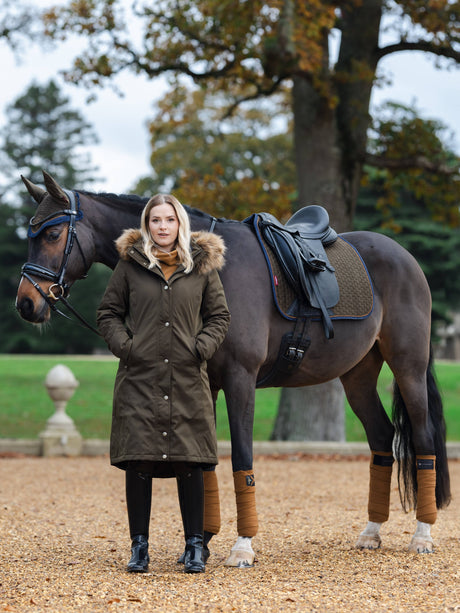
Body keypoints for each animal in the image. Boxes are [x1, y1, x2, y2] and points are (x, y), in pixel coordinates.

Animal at [16, 171, 452, 564]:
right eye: (31, 235)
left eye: (52, 235)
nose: (25, 304)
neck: (210, 269)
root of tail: (405, 257)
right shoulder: (205, 383)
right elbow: (204, 463)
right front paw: (201, 543)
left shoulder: (240, 380)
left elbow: (242, 458)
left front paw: (242, 546)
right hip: (358, 377)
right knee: (382, 438)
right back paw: (371, 532)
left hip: (408, 368)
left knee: (423, 438)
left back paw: (422, 536)